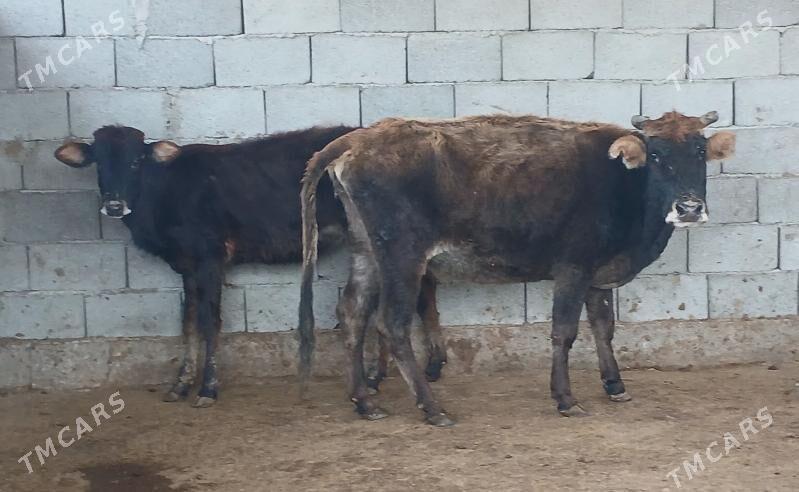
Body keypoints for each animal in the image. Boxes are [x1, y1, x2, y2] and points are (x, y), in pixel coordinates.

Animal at [53, 126, 445, 407]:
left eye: (137, 161)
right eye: (98, 161)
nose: (114, 206)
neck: (164, 192)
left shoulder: (210, 257)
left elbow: (210, 322)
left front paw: (207, 389)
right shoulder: (187, 266)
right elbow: (188, 322)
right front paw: (180, 384)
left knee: (421, 290)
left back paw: (428, 365)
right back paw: (386, 375)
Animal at [298, 111, 736, 426]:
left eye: (699, 152)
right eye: (657, 155)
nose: (689, 208)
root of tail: (359, 138)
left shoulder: (598, 274)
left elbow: (603, 327)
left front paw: (614, 384)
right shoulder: (573, 267)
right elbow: (564, 332)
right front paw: (565, 398)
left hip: (366, 251)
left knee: (352, 313)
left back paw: (364, 401)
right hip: (402, 256)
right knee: (391, 323)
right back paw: (431, 407)